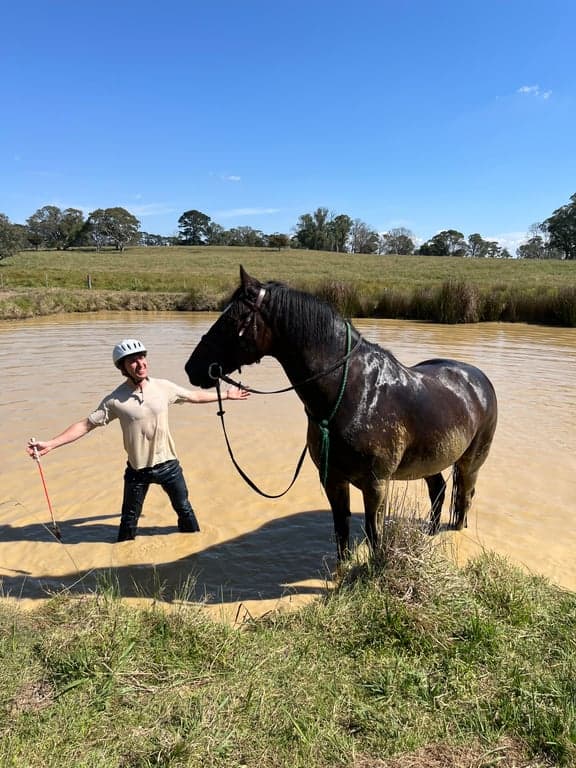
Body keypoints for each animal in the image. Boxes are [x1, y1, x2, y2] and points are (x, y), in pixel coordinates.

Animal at [185, 266, 498, 560]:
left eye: (230, 320)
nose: (192, 368)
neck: (353, 395)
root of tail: (479, 379)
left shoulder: (375, 485)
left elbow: (374, 533)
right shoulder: (333, 480)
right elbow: (341, 530)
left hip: (470, 464)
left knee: (463, 499)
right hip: (430, 462)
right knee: (438, 491)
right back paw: (430, 534)